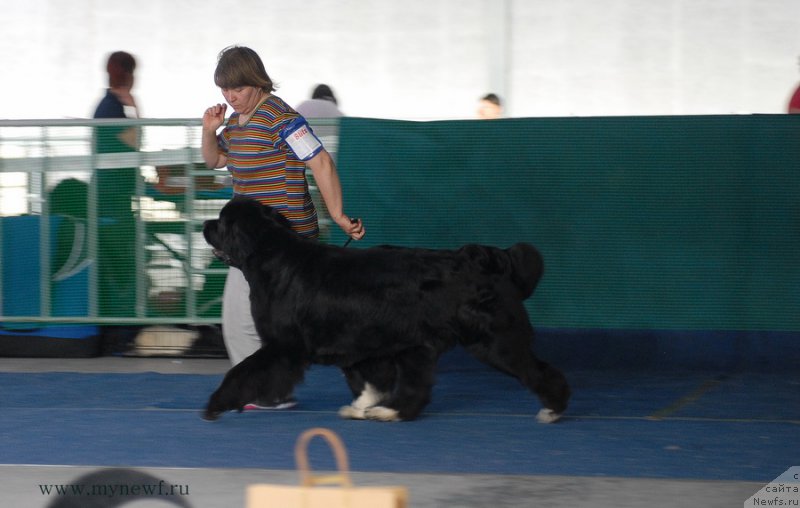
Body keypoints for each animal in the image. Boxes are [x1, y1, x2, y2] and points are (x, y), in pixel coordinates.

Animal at [203, 196, 572, 422]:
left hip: (494, 342)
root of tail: (486, 259)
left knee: (540, 371)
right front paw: (362, 407)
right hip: (418, 344)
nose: (206, 224)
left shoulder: (283, 346)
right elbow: (367, 381)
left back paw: (553, 409)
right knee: (415, 389)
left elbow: (243, 372)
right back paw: (389, 412)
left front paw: (216, 404)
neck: (272, 257)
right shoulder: (357, 343)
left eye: (221, 222)